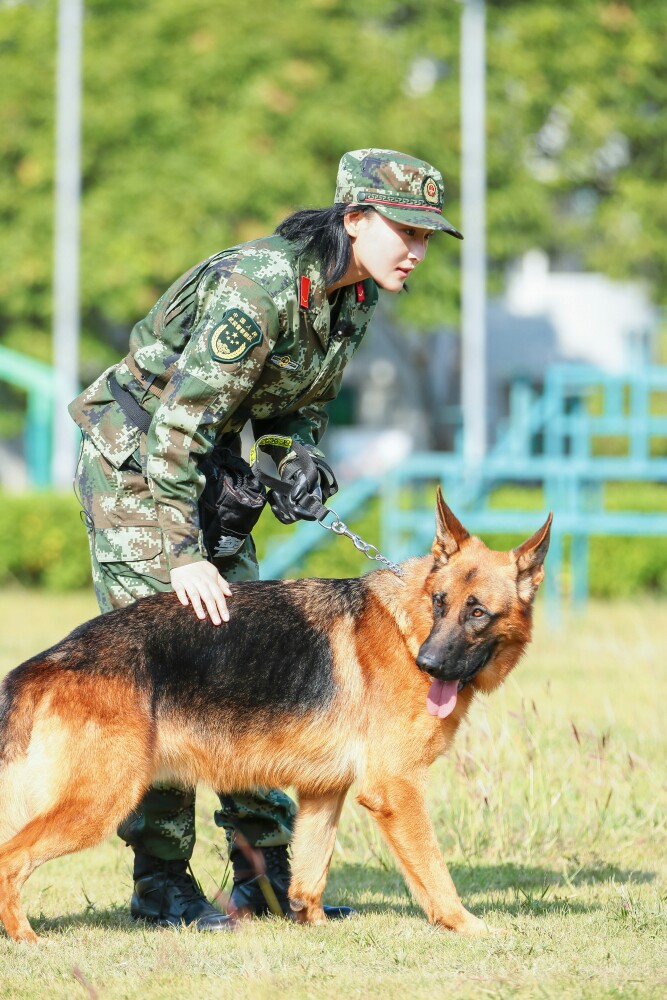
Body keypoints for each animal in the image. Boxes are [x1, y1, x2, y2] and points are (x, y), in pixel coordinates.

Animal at [0, 494, 552, 944]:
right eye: (440, 603)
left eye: (477, 612)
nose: (428, 664)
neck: (408, 626)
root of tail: (50, 658)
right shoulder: (395, 789)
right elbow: (435, 871)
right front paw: (466, 924)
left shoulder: (325, 791)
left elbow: (310, 870)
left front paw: (312, 921)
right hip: (100, 801)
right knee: (10, 858)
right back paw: (24, 937)